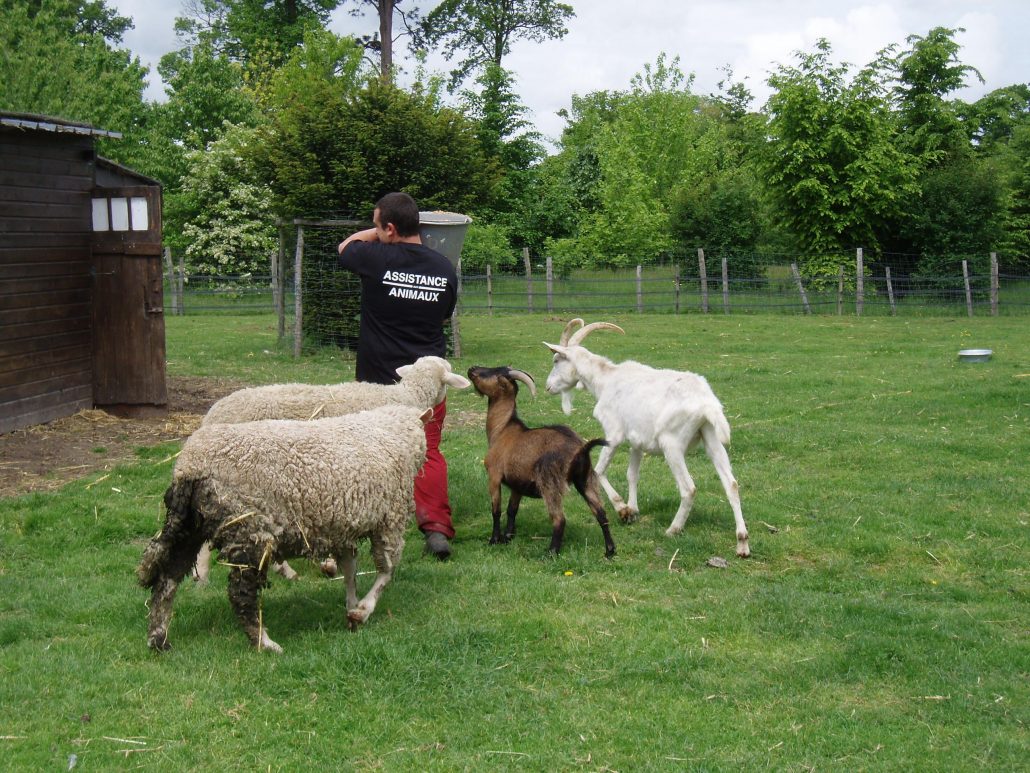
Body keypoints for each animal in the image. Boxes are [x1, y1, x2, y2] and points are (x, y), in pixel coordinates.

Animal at [135, 406, 430, 655]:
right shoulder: (389, 521)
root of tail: (189, 467)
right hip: (248, 529)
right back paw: (264, 642)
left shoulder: (342, 527)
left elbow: (350, 570)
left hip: (189, 525)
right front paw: (363, 611)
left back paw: (158, 638)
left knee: (168, 577)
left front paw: (351, 606)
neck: (394, 431)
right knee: (240, 592)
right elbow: (386, 570)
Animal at [471, 366, 613, 560]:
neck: (502, 429)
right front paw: (508, 537)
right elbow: (511, 510)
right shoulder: (518, 484)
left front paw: (494, 540)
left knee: (559, 518)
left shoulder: (494, 475)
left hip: (549, 482)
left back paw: (551, 553)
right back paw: (610, 550)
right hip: (585, 480)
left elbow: (496, 510)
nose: (472, 369)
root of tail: (580, 450)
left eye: (491, 372)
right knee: (601, 513)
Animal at [543, 317, 753, 560]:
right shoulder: (637, 443)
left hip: (672, 445)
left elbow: (598, 470)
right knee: (732, 485)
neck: (606, 380)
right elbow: (632, 474)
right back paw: (742, 543)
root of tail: (707, 404)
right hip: (711, 438)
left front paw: (622, 509)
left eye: (556, 360)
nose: (548, 387)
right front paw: (633, 510)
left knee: (689, 488)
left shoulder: (614, 434)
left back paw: (674, 529)